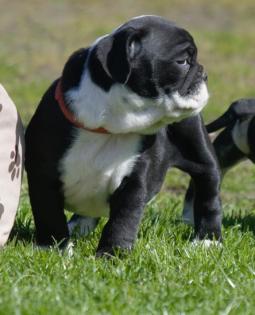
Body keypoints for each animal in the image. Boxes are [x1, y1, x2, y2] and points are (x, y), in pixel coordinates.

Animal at [24, 15, 222, 256]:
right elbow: (49, 215)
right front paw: (54, 249)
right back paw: (79, 225)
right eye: (183, 61)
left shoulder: (133, 183)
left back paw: (208, 240)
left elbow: (122, 221)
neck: (108, 127)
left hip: (199, 150)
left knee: (208, 192)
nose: (205, 74)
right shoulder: (43, 176)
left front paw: (112, 254)